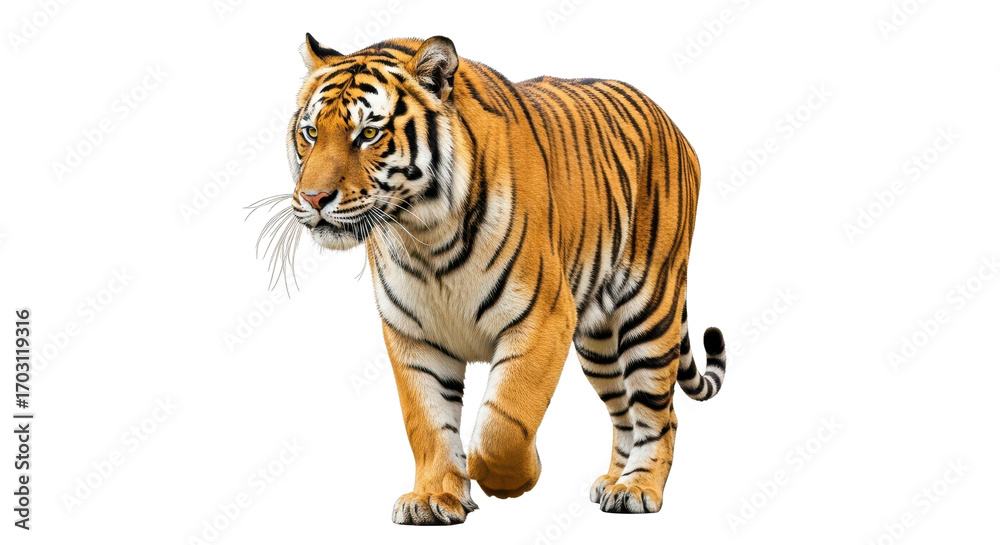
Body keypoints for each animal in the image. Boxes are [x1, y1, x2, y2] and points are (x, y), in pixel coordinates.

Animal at [261, 33, 728, 525]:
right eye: (311, 133)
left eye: (368, 133)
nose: (313, 198)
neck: (424, 237)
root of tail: (671, 121)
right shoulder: (413, 336)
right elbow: (427, 423)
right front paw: (433, 498)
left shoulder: (542, 319)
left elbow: (503, 425)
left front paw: (516, 479)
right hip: (597, 342)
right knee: (624, 412)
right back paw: (612, 482)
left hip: (650, 312)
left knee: (660, 413)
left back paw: (637, 489)